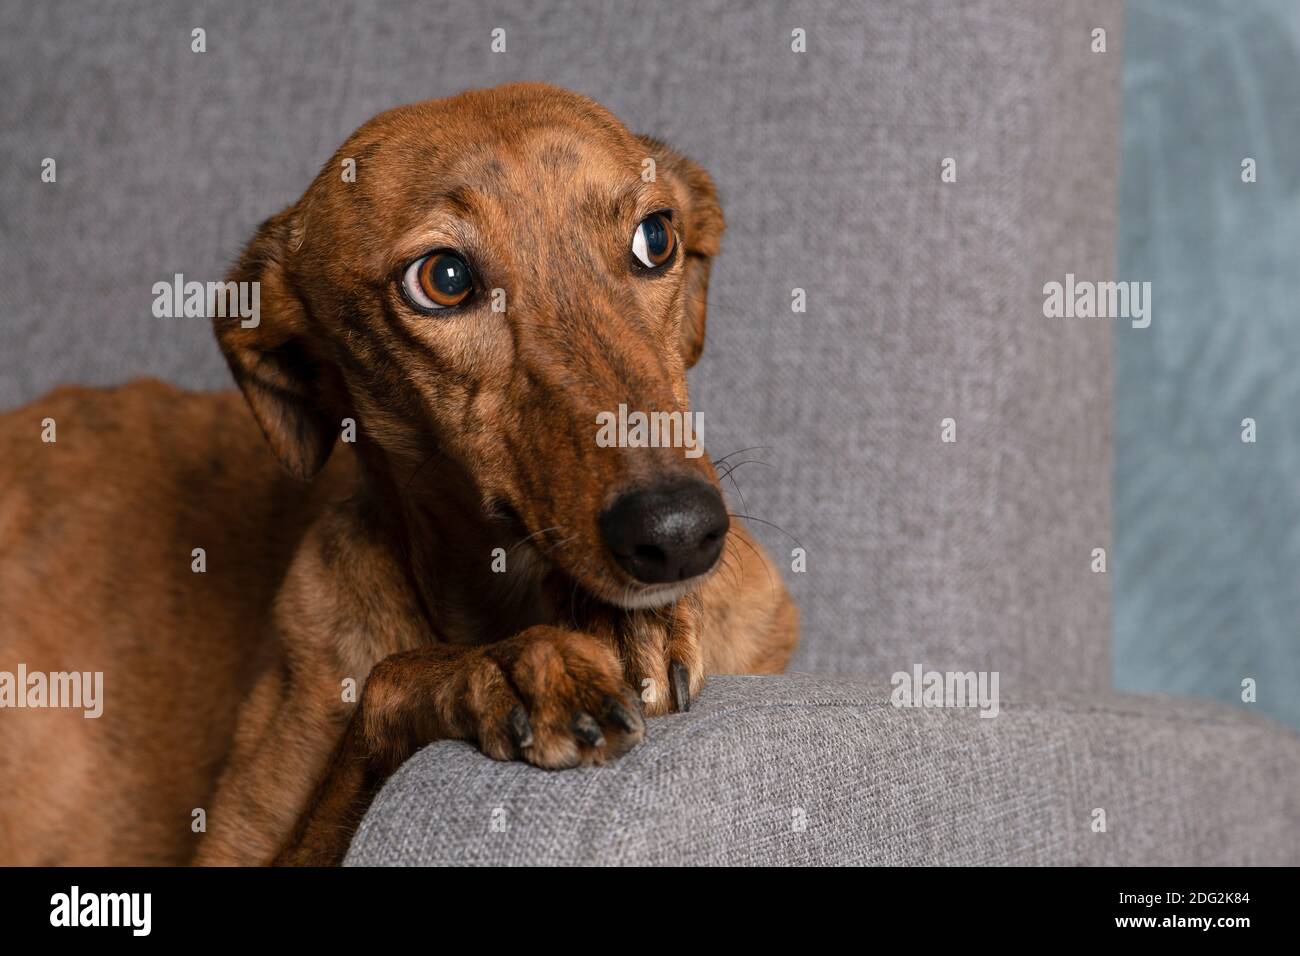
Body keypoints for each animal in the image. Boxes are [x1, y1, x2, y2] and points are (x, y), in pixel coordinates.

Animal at [0, 82, 795, 868]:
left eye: (655, 238)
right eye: (444, 279)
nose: (679, 533)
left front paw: (630, 626)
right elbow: (388, 682)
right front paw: (507, 667)